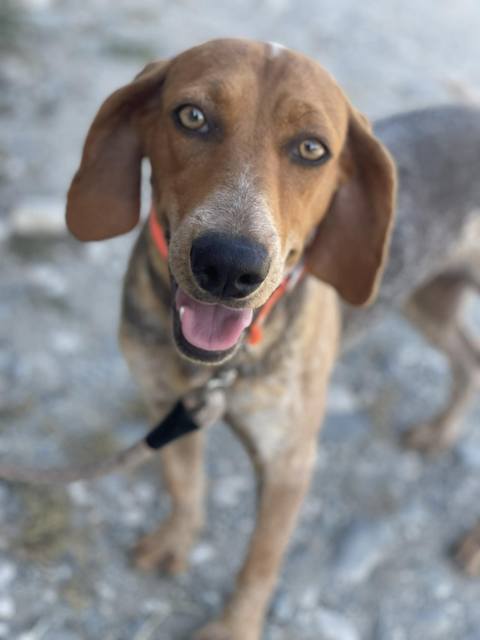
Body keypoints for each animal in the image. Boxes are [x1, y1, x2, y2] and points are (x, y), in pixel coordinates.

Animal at [66, 38, 480, 639]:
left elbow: (259, 562)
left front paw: (232, 629)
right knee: (469, 361)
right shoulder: (167, 407)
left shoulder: (290, 463)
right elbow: (184, 487)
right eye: (191, 117)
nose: (227, 266)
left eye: (311, 149)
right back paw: (440, 432)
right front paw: (175, 541)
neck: (221, 369)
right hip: (429, 300)